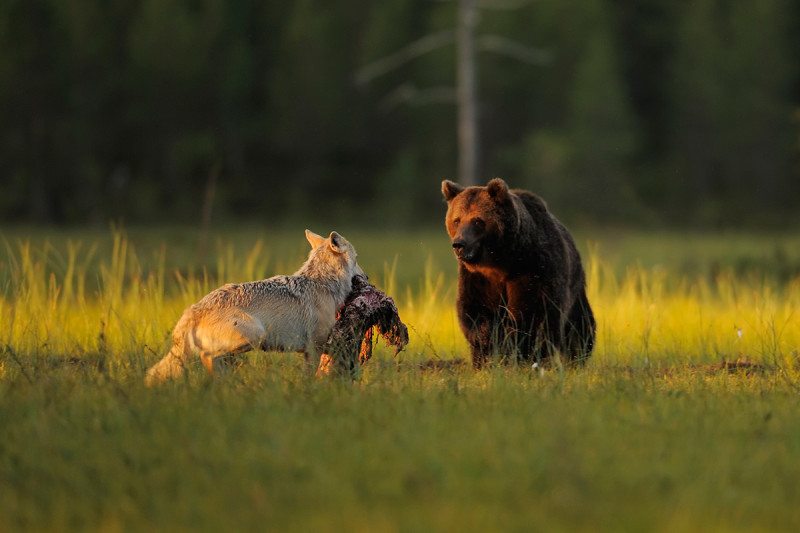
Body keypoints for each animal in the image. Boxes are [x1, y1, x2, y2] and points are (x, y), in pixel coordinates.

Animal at [145, 228, 362, 382]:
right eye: (357, 259)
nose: (366, 277)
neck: (323, 283)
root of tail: (194, 309)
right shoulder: (314, 348)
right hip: (255, 335)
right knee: (206, 356)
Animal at [444, 177, 592, 368]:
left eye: (477, 220)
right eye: (457, 220)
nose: (459, 244)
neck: (501, 261)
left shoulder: (532, 269)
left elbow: (531, 314)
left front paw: (518, 351)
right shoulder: (478, 278)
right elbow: (475, 310)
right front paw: (488, 346)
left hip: (574, 286)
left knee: (579, 327)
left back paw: (576, 358)